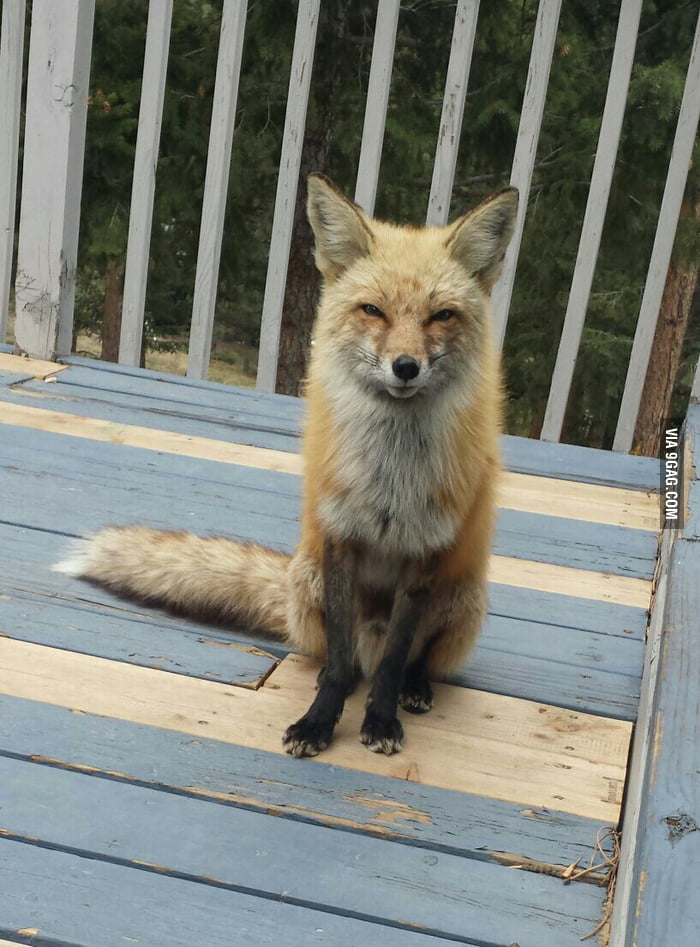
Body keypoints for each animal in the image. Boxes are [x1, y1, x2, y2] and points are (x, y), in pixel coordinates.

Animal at [56, 174, 518, 758]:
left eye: (442, 315)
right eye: (374, 311)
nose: (406, 367)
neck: (390, 478)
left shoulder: (423, 550)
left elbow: (393, 663)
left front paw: (381, 719)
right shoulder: (341, 538)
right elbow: (340, 664)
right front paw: (319, 721)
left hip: (461, 596)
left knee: (411, 660)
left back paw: (415, 689)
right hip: (309, 577)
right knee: (339, 657)